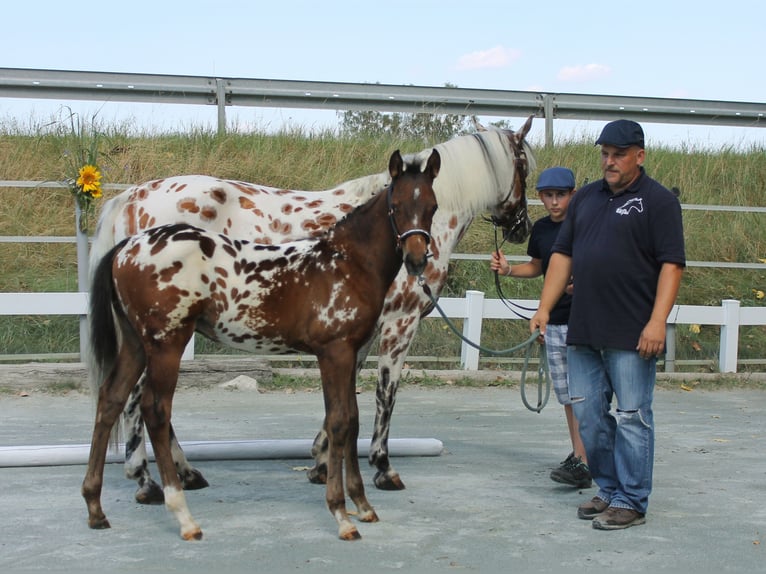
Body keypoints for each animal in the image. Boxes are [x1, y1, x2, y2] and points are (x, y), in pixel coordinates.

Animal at [82, 150, 440, 544]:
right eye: (396, 205)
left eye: (433, 207)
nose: (417, 260)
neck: (346, 264)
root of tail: (126, 247)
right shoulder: (334, 353)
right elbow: (339, 424)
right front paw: (341, 515)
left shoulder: (350, 353)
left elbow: (353, 422)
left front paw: (362, 505)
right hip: (166, 345)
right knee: (155, 411)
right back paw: (184, 516)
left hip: (135, 344)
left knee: (110, 400)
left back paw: (95, 508)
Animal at [88, 115, 536, 502]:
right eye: (524, 166)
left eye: (432, 205)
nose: (522, 228)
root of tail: (132, 197)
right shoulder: (400, 323)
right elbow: (385, 394)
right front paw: (382, 467)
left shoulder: (356, 333)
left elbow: (346, 395)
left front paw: (321, 460)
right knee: (138, 400)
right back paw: (149, 479)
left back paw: (178, 473)